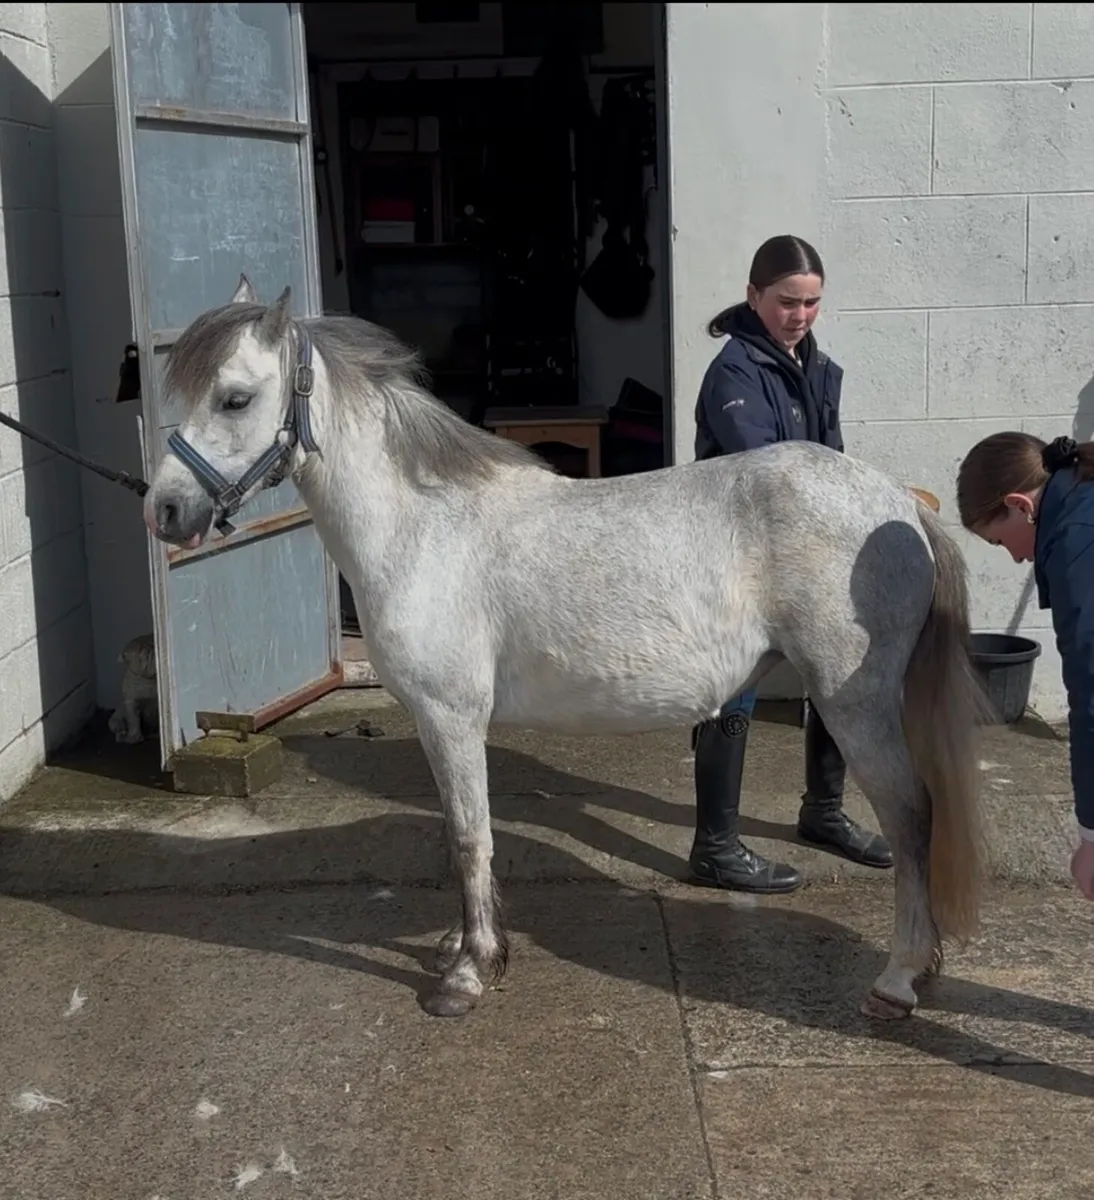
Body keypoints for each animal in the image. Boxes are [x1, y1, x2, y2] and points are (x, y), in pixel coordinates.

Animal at [143, 275, 989, 1022]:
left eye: (235, 398)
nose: (165, 510)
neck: (423, 527)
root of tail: (898, 504)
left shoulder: (449, 716)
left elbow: (469, 837)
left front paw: (468, 974)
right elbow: (464, 837)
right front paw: (467, 944)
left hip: (856, 701)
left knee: (913, 818)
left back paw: (898, 981)